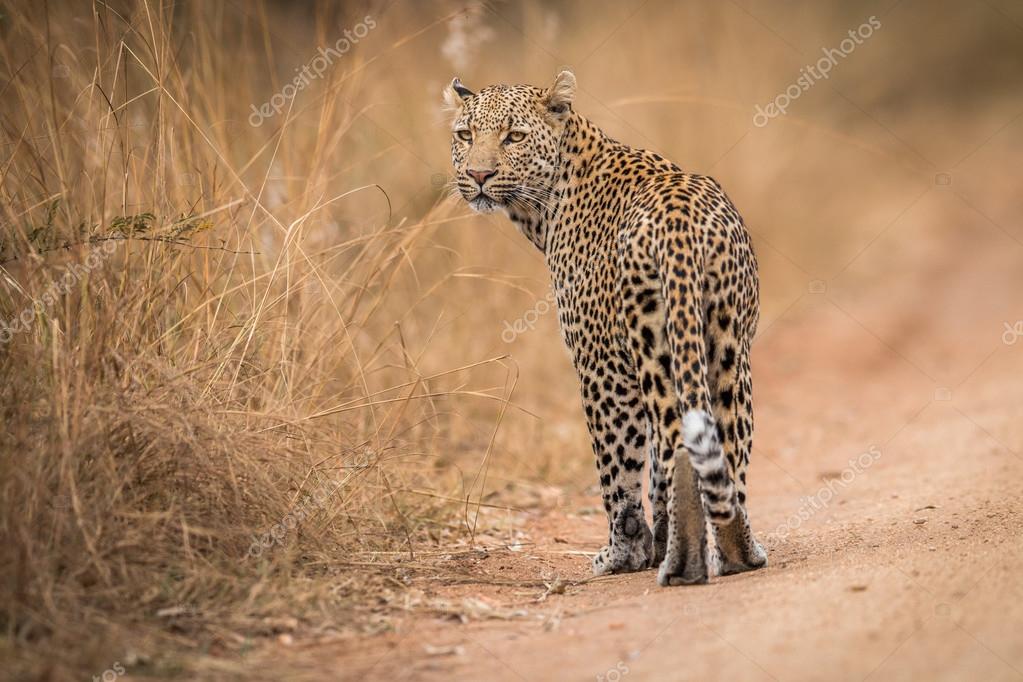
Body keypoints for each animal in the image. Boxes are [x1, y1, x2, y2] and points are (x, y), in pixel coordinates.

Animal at [443, 70, 767, 585]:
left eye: (514, 136)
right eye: (464, 135)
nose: (478, 175)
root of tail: (679, 227)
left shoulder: (601, 364)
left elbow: (619, 472)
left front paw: (625, 553)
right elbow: (655, 474)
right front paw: (654, 542)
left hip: (652, 350)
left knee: (674, 447)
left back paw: (681, 564)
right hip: (726, 350)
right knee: (726, 450)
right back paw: (738, 553)